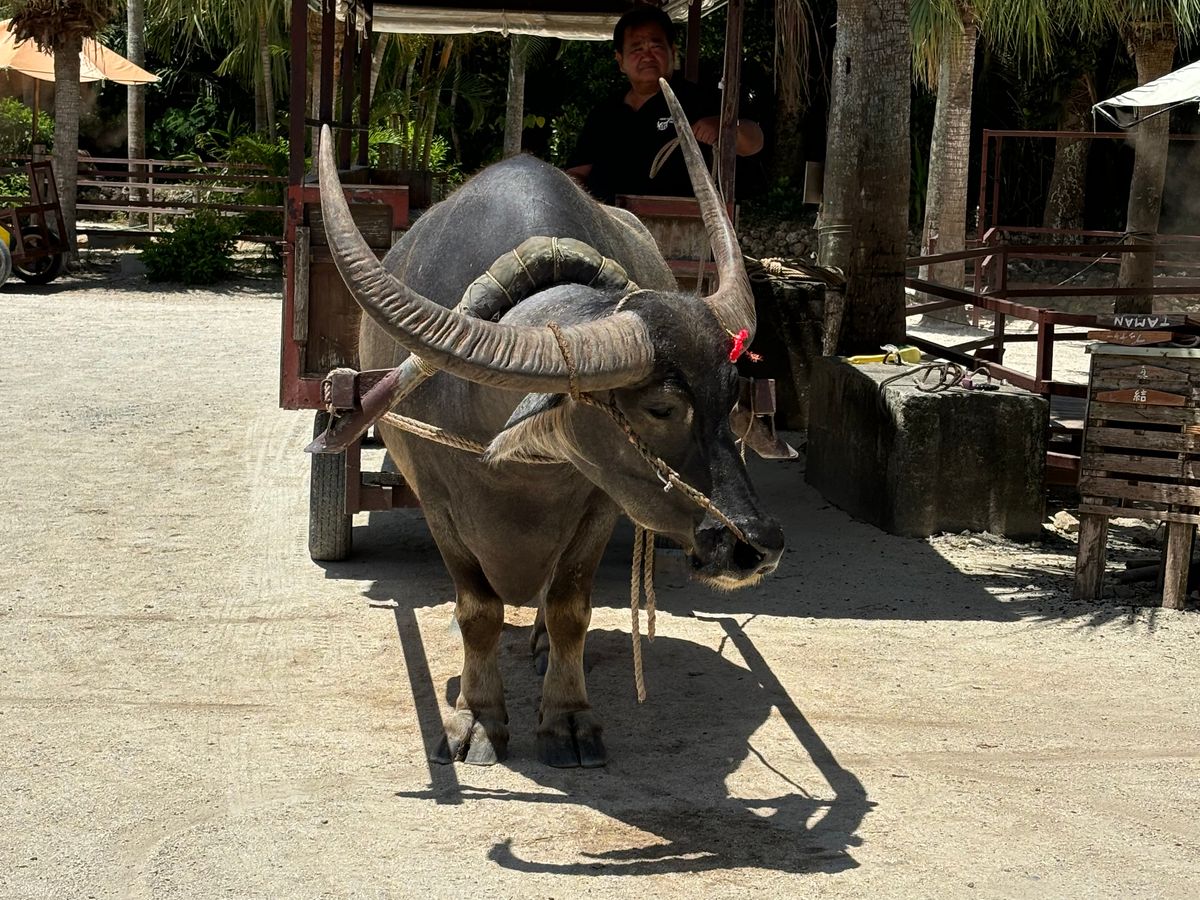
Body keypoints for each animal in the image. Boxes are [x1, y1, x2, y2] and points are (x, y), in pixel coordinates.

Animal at [319, 80, 783, 768]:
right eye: (660, 408)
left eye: (731, 399)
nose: (755, 545)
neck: (519, 472)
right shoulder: (436, 500)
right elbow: (478, 611)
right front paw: (477, 718)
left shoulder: (601, 502)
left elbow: (569, 607)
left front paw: (566, 719)